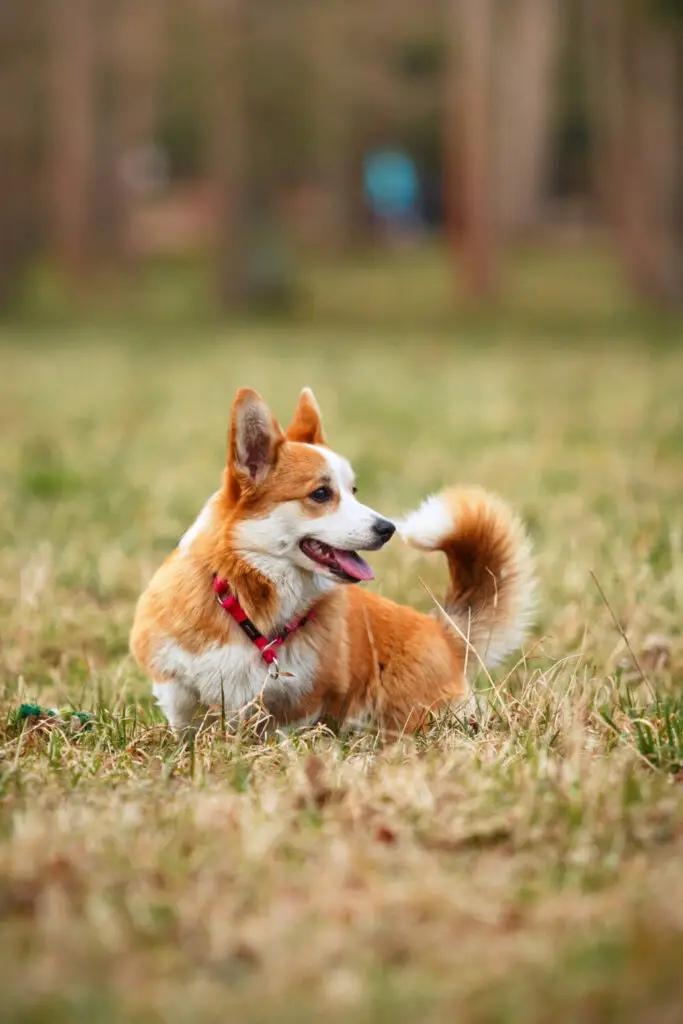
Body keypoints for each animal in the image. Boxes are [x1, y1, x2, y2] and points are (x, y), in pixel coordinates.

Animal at [127, 387, 532, 733]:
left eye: (353, 490)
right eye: (321, 494)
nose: (388, 529)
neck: (252, 601)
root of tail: (444, 633)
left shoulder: (300, 703)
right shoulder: (178, 688)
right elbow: (186, 724)